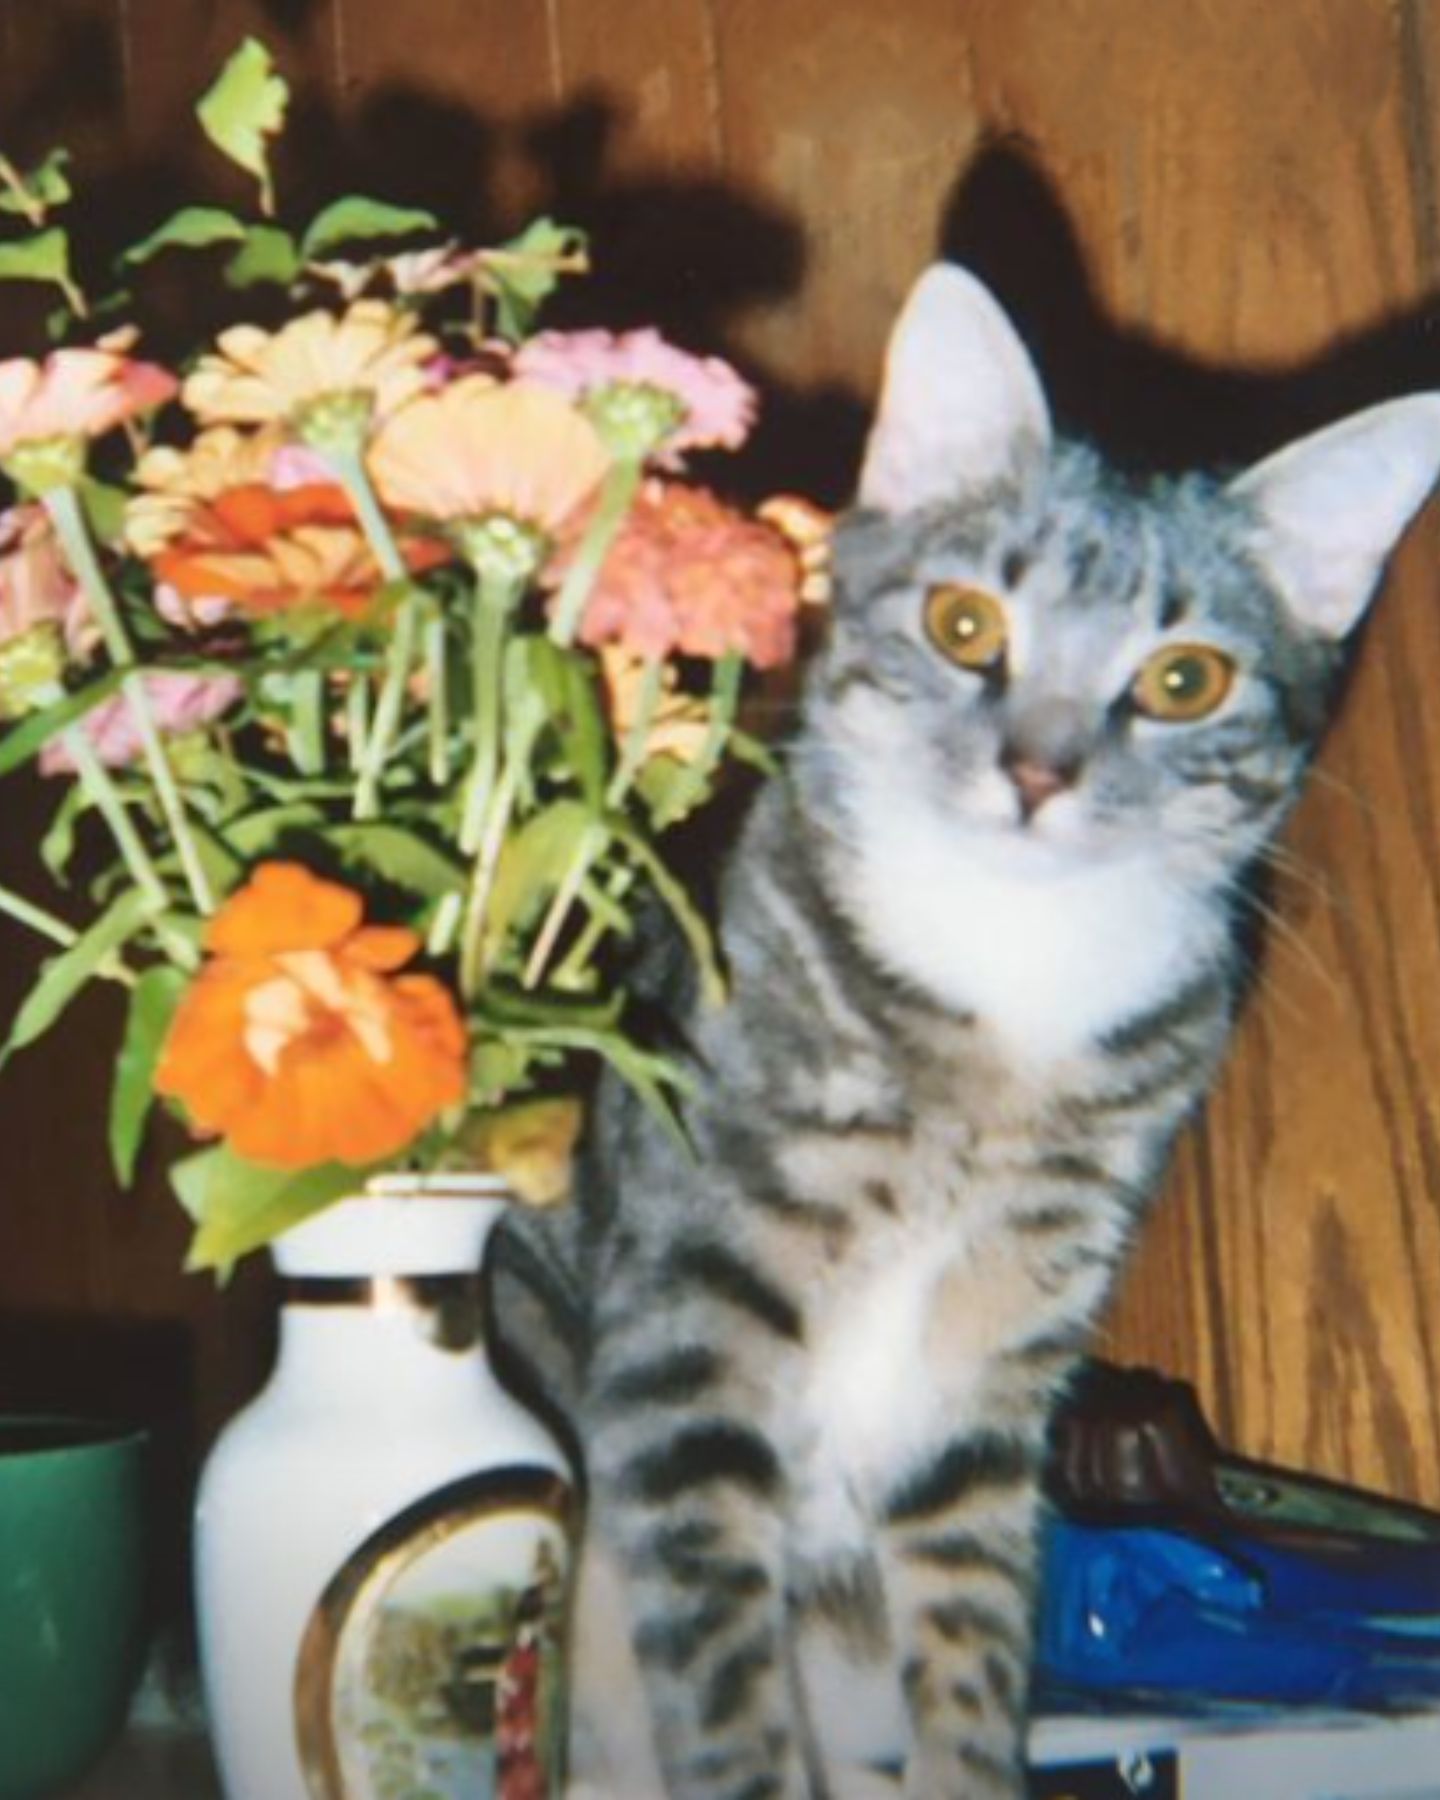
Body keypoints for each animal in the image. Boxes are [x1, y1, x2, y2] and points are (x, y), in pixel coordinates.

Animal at [496, 266, 1440, 1800]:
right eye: (962, 626)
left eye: (1185, 681)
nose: (1038, 771)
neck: (1014, 973)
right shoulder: (694, 1311)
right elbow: (721, 1667)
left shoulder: (1000, 1362)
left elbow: (970, 1643)